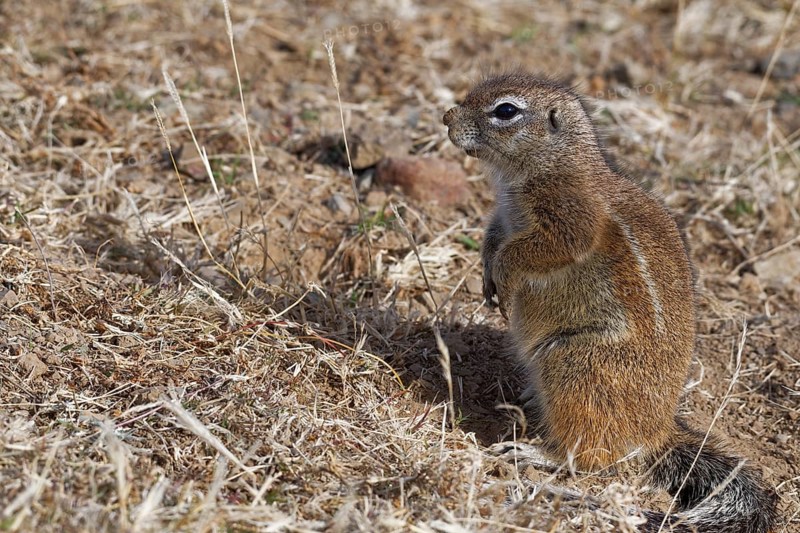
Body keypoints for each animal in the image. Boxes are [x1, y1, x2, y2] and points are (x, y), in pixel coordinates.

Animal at [443, 72, 778, 533]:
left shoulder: (571, 215)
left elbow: (537, 250)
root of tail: (657, 431)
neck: (554, 162)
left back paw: (535, 452)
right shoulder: (501, 216)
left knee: (589, 456)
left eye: (505, 110)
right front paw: (487, 276)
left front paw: (505, 279)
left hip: (575, 365)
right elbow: (495, 236)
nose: (446, 117)